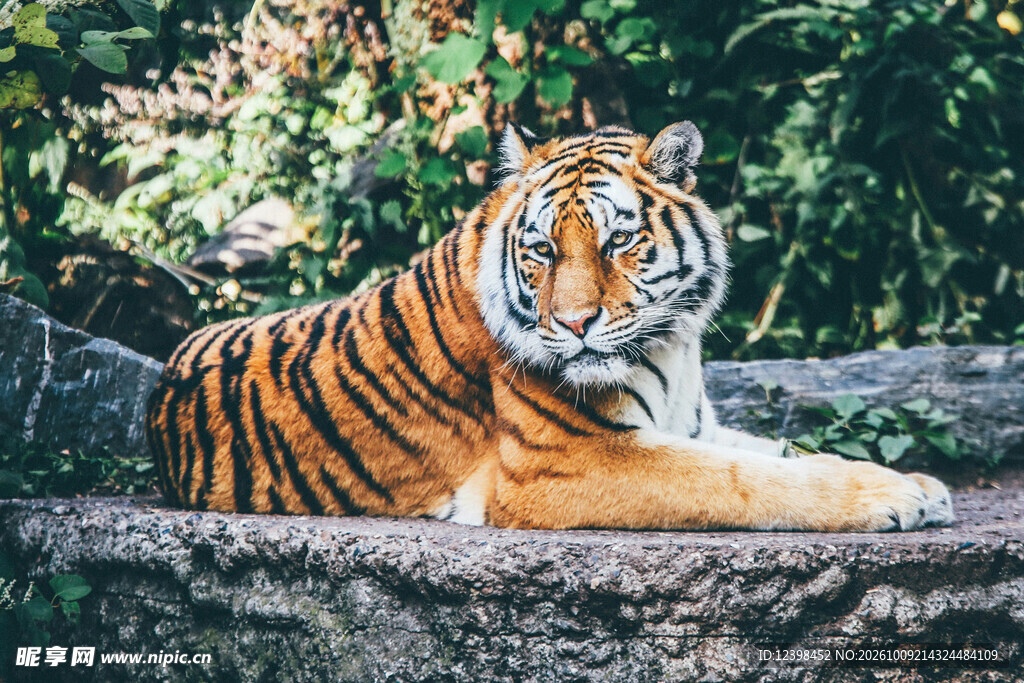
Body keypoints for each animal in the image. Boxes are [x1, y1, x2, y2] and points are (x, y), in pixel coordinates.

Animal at [145, 121, 954, 531]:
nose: (573, 323)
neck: (673, 346)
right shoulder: (569, 463)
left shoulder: (692, 424)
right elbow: (746, 479)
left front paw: (917, 482)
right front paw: (894, 498)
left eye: (617, 241)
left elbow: (782, 451)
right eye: (541, 251)